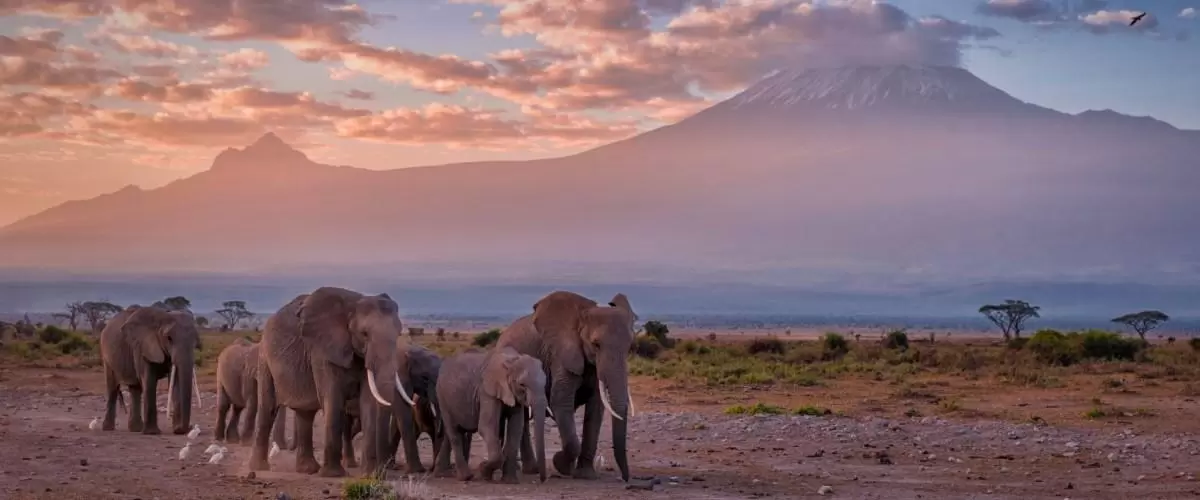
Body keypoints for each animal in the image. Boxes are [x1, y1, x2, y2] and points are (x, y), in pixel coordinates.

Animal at [99, 305, 202, 435]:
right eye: (169, 338)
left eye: (195, 340)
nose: (184, 428)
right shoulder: (143, 347)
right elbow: (149, 381)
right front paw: (152, 432)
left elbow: (176, 381)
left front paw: (177, 430)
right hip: (107, 356)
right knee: (112, 388)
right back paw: (108, 428)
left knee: (135, 389)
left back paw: (136, 429)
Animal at [249, 287, 404, 478]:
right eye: (365, 334)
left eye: (399, 334)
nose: (380, 473)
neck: (354, 304)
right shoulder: (322, 351)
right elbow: (333, 398)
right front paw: (333, 474)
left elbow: (368, 402)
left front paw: (369, 475)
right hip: (265, 358)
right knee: (268, 408)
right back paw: (259, 468)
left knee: (305, 414)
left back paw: (307, 470)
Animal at [434, 346, 547, 484]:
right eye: (522, 384)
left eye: (545, 383)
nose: (542, 479)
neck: (511, 361)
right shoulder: (486, 391)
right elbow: (486, 426)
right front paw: (483, 473)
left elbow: (516, 429)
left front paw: (509, 481)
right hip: (442, 396)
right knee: (454, 433)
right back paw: (465, 477)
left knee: (450, 433)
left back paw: (443, 474)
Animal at [496, 291, 637, 482]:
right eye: (596, 344)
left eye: (629, 347)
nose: (625, 478)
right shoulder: (561, 356)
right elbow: (561, 403)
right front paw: (561, 464)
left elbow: (596, 409)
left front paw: (585, 475)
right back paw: (532, 470)